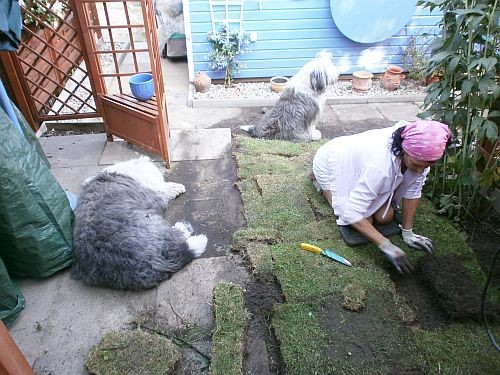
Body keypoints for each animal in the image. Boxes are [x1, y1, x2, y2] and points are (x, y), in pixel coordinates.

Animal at [71, 156, 207, 290]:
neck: (129, 171)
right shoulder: (154, 194)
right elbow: (163, 190)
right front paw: (176, 187)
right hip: (154, 223)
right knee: (175, 237)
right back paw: (185, 229)